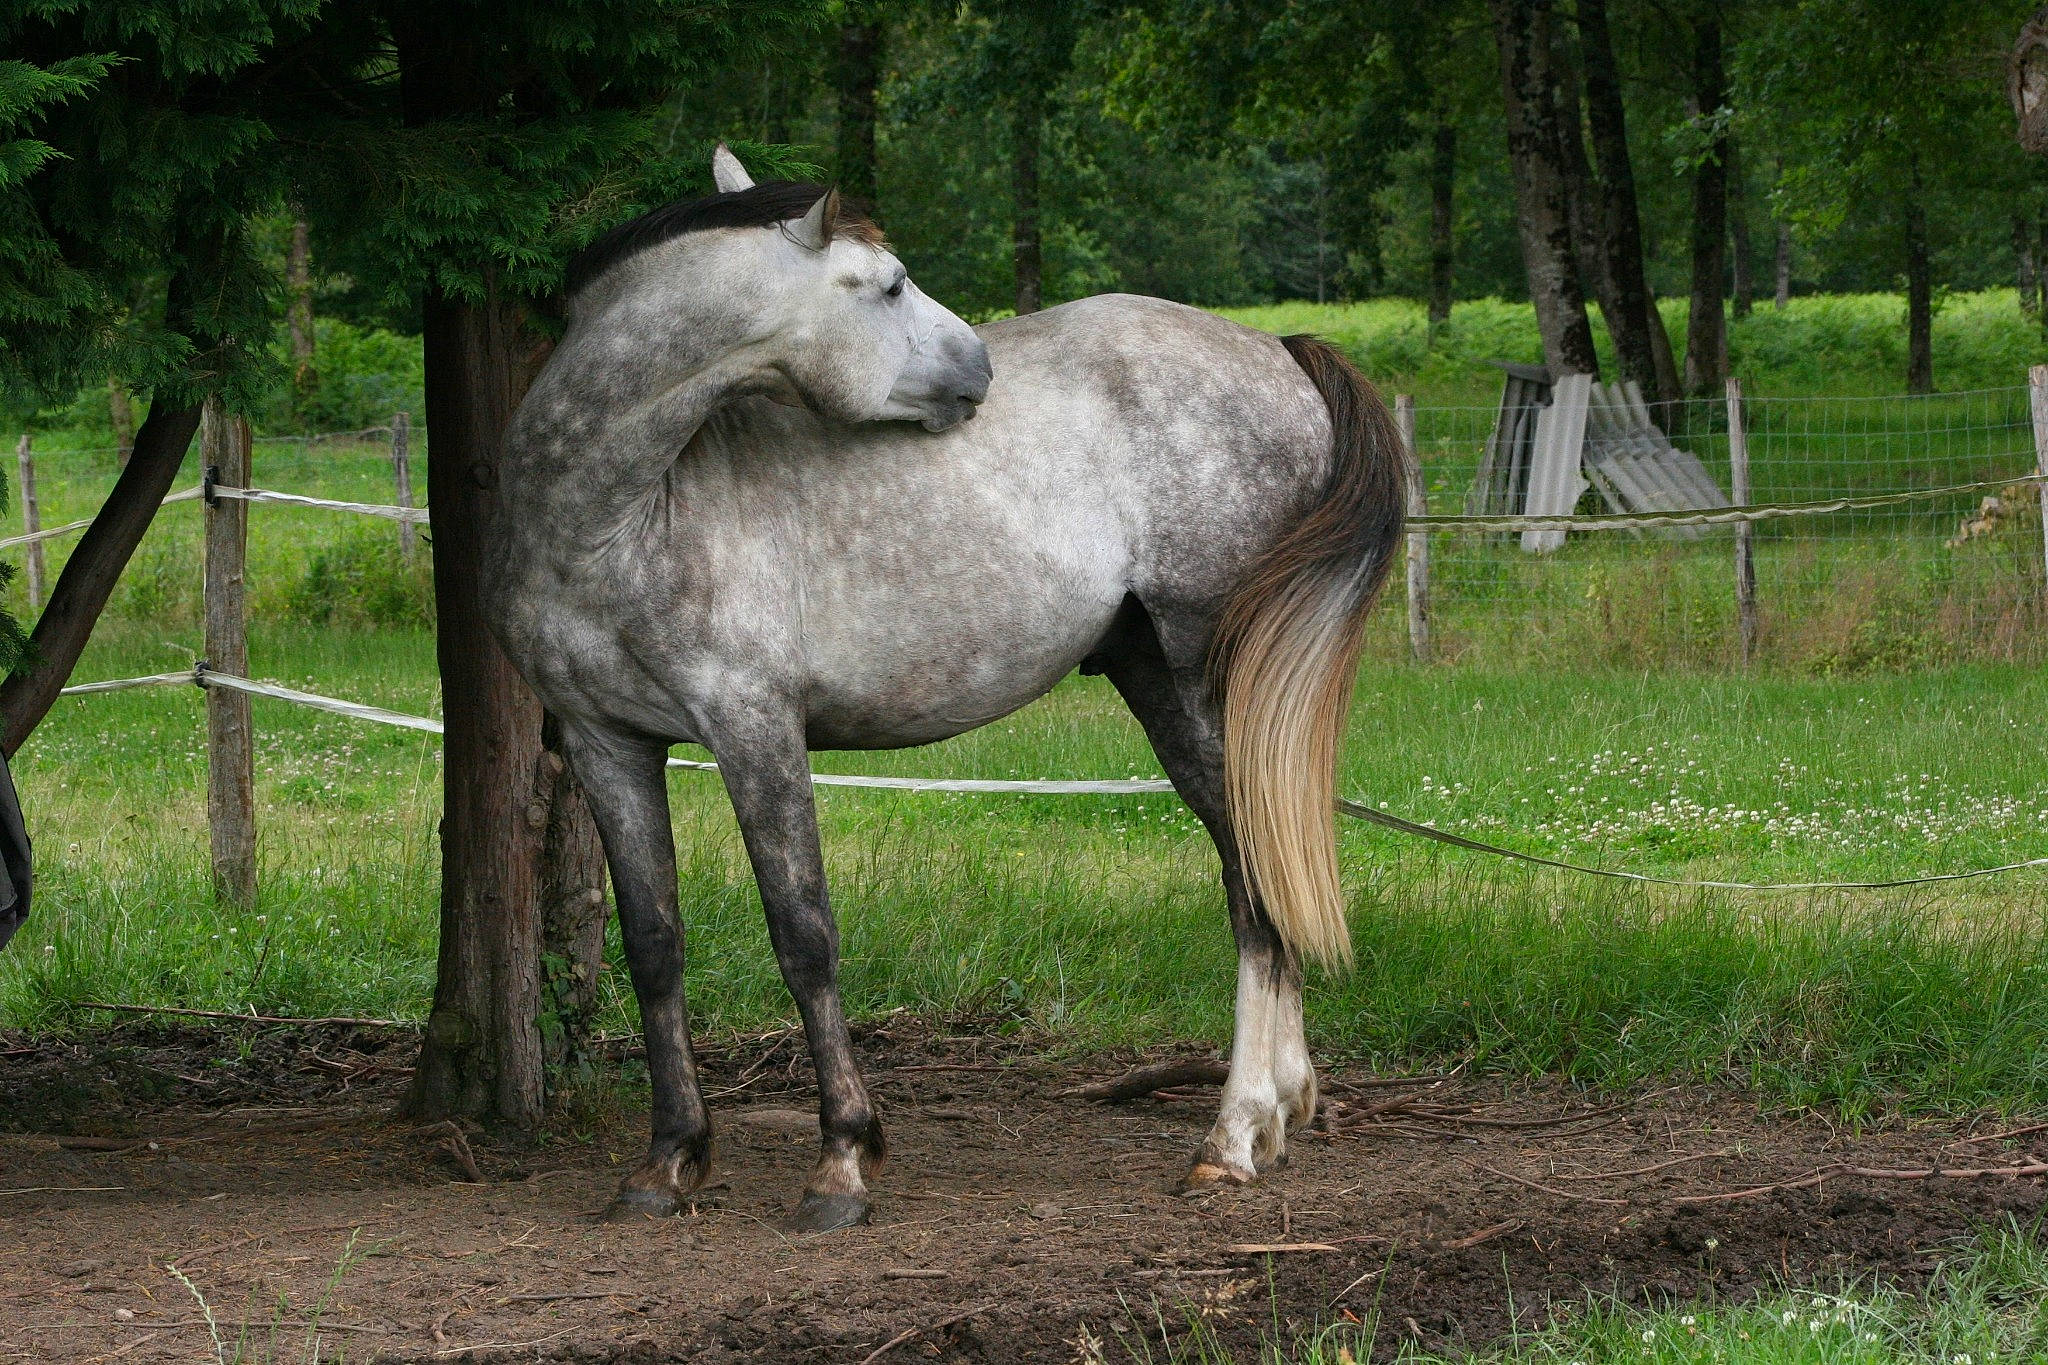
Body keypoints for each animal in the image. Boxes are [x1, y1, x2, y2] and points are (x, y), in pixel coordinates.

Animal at [485, 144, 1404, 1231]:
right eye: (888, 285)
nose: (980, 373)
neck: (620, 514)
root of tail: (1276, 349)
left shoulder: (752, 727)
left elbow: (803, 935)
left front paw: (842, 1161)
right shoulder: (605, 741)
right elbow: (653, 944)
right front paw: (668, 1162)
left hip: (1207, 687)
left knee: (1254, 880)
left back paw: (1230, 1138)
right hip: (1162, 691)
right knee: (1250, 869)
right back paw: (1273, 1116)